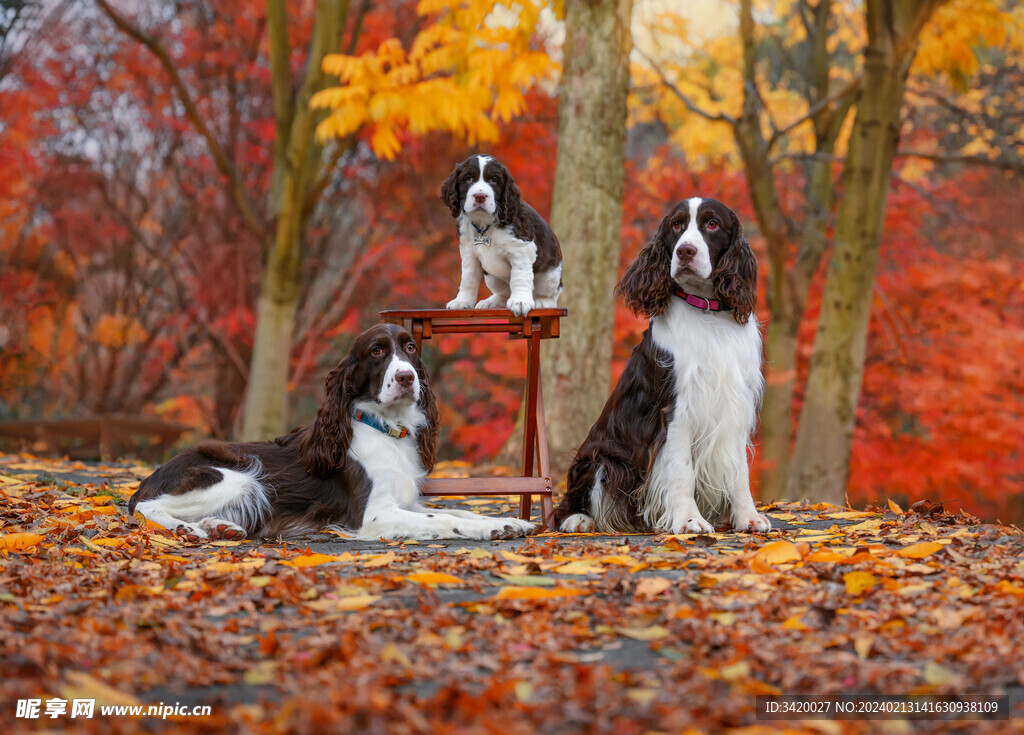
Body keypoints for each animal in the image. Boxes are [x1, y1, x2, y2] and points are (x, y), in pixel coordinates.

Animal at [128, 325, 536, 544]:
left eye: (410, 347)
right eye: (377, 351)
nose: (407, 377)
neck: (387, 430)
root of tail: (151, 476)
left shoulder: (408, 502)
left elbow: (459, 509)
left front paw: (511, 522)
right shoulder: (374, 515)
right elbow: (443, 520)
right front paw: (495, 527)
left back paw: (221, 527)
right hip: (236, 478)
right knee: (145, 508)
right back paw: (187, 529)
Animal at [442, 153, 565, 315]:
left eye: (494, 180)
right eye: (468, 178)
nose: (480, 196)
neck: (484, 224)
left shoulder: (521, 250)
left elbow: (519, 276)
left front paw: (520, 301)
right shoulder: (469, 253)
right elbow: (468, 278)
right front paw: (462, 301)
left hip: (550, 275)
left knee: (551, 294)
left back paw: (542, 302)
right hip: (492, 277)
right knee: (504, 293)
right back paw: (490, 302)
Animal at [552, 198, 770, 536]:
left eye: (712, 224)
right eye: (676, 225)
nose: (685, 252)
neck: (708, 313)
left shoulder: (735, 403)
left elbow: (739, 471)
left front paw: (748, 517)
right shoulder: (675, 409)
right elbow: (682, 471)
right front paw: (689, 520)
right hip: (602, 459)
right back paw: (577, 519)